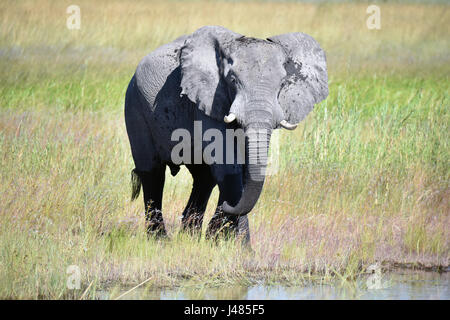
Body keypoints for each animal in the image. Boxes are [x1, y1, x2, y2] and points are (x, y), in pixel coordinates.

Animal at [125, 26, 328, 244]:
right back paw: (160, 240)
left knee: (204, 179)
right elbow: (229, 167)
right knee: (152, 173)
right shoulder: (209, 101)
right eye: (232, 80)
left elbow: (241, 170)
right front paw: (237, 245)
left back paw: (190, 236)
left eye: (282, 84)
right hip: (135, 106)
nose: (227, 207)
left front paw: (221, 241)